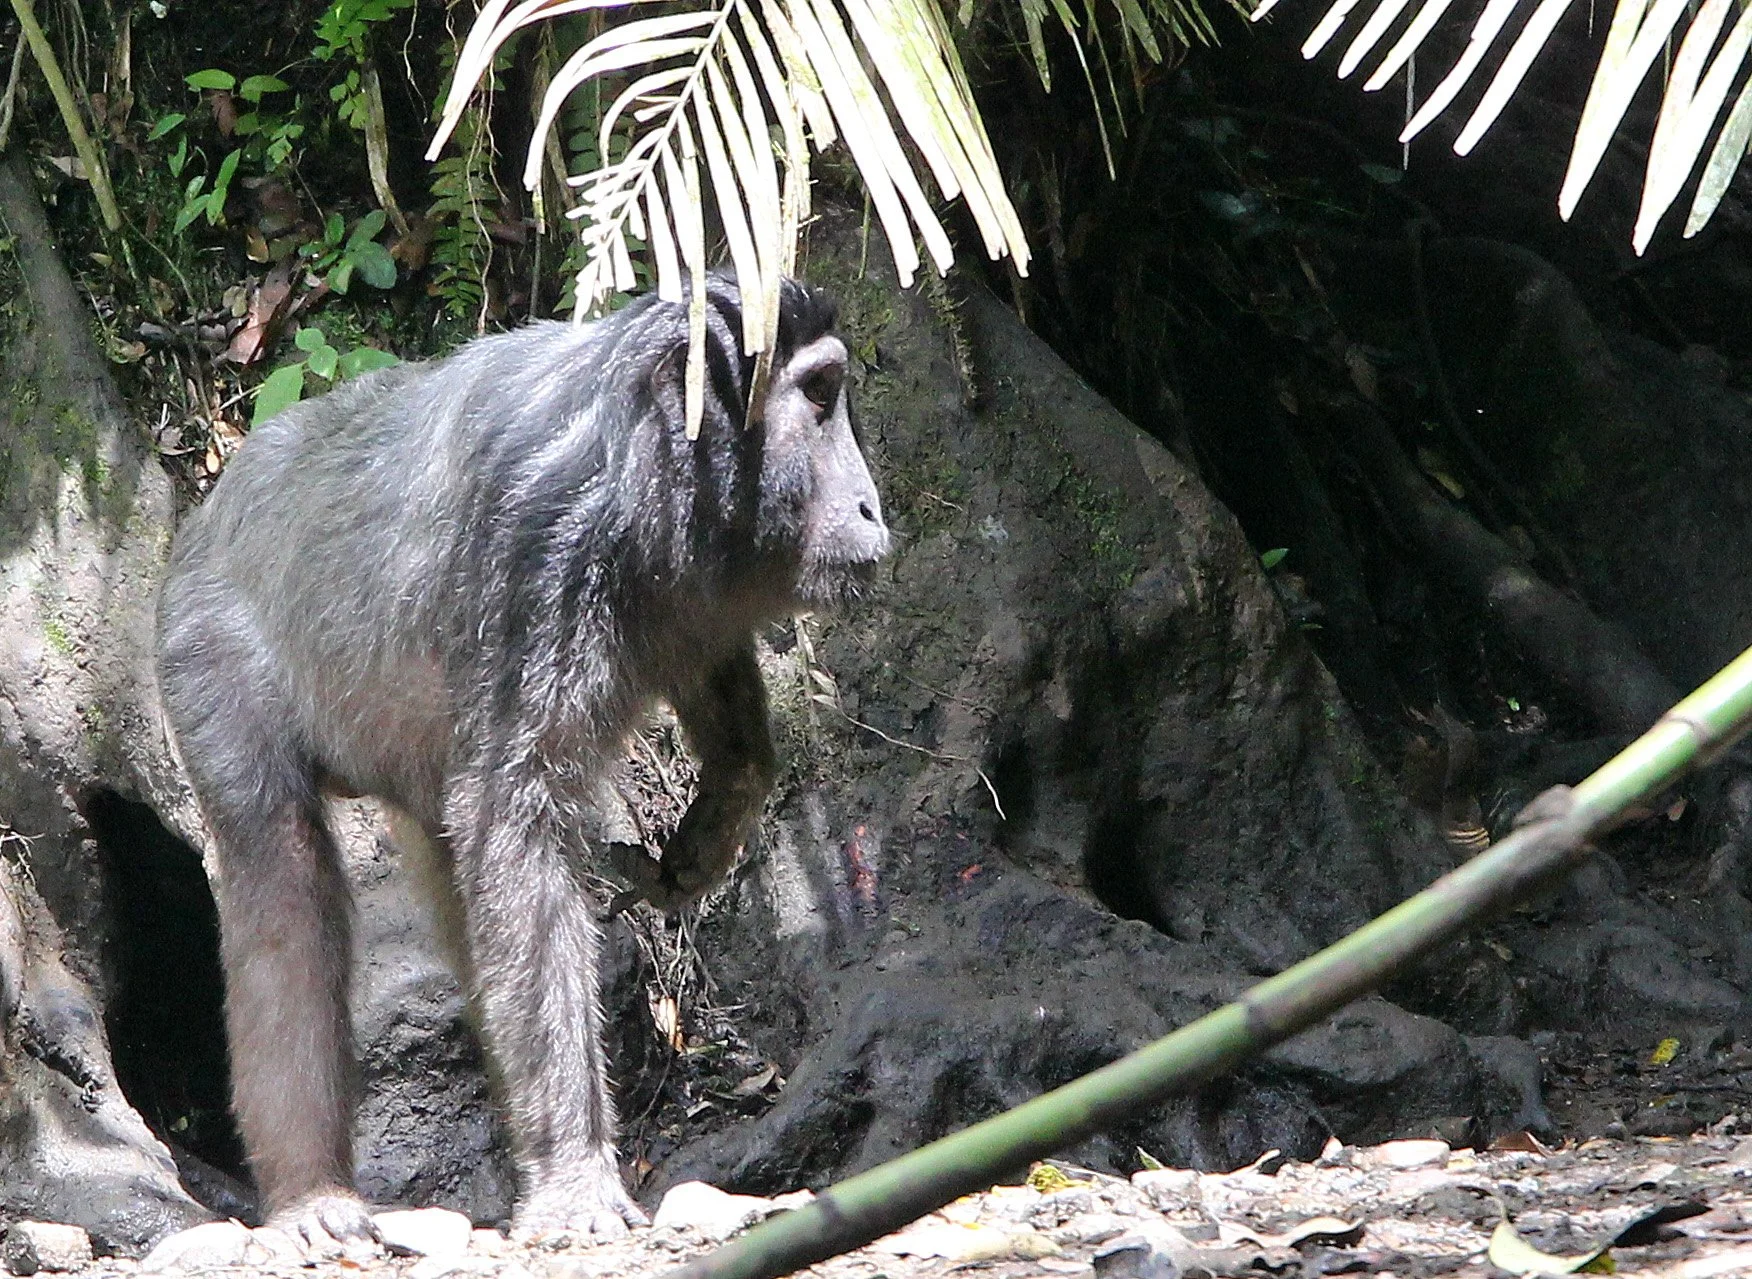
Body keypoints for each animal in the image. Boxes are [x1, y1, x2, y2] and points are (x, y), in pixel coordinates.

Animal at [156, 276, 889, 1250]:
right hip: (200, 641)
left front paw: (718, 817)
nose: (872, 504)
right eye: (819, 395)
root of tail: (213, 500)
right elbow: (518, 821)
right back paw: (310, 1190)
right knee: (280, 868)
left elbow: (705, 676)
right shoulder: (544, 540)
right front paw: (576, 1181)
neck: (646, 450)